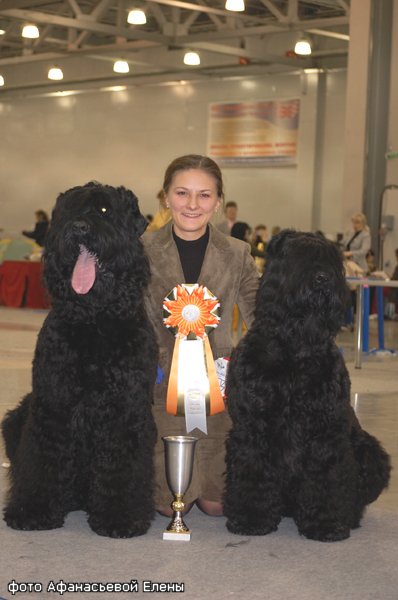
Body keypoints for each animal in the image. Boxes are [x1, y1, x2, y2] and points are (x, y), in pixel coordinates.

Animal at [1, 183, 157, 540]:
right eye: (70, 210)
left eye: (104, 210)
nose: (79, 228)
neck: (94, 318)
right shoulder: (53, 402)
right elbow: (43, 459)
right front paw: (33, 510)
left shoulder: (124, 409)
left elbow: (121, 465)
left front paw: (120, 516)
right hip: (15, 419)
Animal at [225, 230, 390, 544]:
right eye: (297, 255)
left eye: (333, 259)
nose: (323, 279)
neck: (295, 345)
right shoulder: (253, 424)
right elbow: (253, 469)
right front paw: (252, 518)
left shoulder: (325, 428)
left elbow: (326, 477)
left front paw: (326, 523)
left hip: (370, 451)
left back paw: (349, 516)